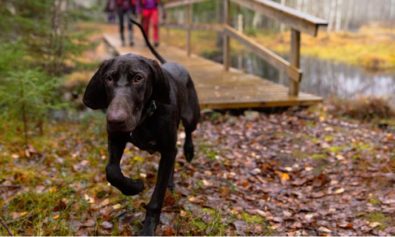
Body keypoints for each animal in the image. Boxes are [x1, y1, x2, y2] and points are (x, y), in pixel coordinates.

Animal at [84, 19, 201, 235]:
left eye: (138, 78)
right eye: (109, 78)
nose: (114, 120)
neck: (145, 119)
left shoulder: (167, 147)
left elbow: (156, 199)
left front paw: (148, 228)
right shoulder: (117, 138)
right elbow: (112, 171)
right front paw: (134, 186)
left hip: (191, 116)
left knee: (189, 132)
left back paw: (189, 151)